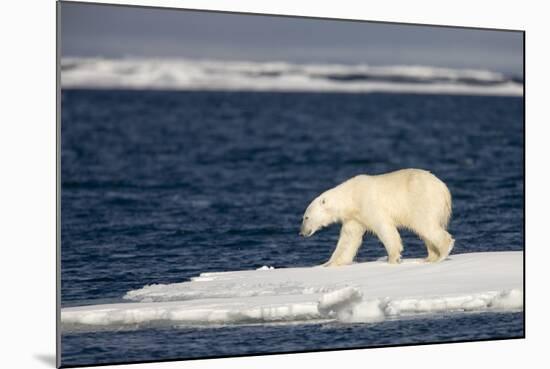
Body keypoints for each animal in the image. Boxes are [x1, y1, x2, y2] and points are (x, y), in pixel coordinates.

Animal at [302, 168, 458, 266]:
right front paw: (328, 263)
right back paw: (429, 258)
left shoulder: (368, 204)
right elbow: (348, 239)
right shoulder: (354, 217)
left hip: (422, 200)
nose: (301, 232)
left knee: (425, 225)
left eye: (306, 217)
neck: (351, 196)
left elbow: (384, 228)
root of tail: (444, 189)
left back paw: (442, 254)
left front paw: (393, 258)